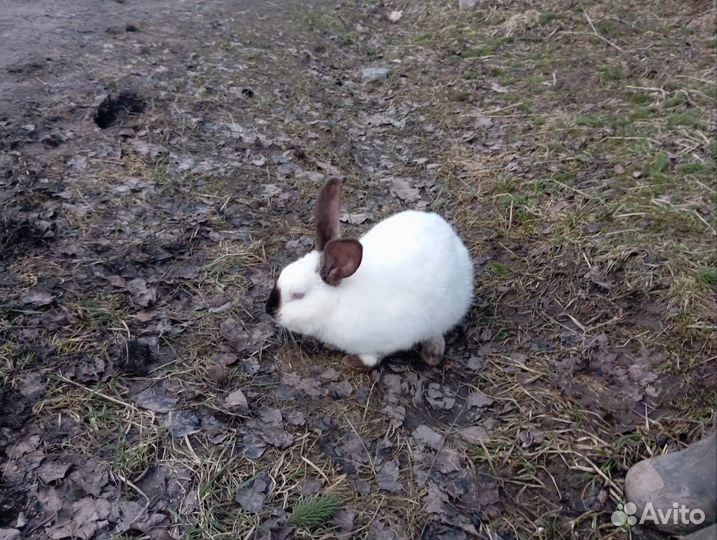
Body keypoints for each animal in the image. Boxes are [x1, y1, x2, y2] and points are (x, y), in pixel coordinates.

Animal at [265, 178, 474, 370]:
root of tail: (449, 233)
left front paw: (352, 361)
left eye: (299, 295)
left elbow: (373, 357)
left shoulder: (389, 339)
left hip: (447, 310)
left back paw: (432, 354)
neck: (336, 305)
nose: (269, 311)